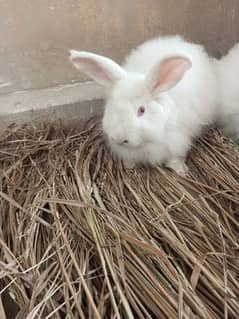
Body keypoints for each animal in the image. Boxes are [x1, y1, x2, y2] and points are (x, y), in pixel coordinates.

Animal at [69, 35, 218, 176]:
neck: (146, 143)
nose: (118, 138)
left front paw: (181, 170)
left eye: (141, 110)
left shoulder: (178, 142)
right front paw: (129, 166)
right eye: (112, 105)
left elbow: (176, 157)